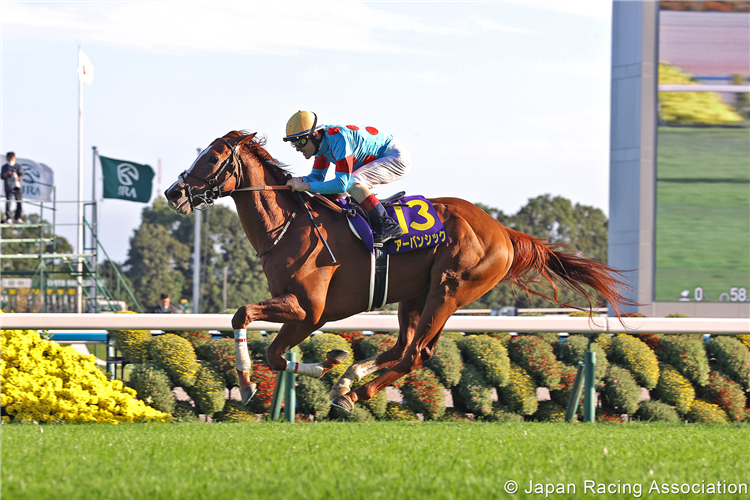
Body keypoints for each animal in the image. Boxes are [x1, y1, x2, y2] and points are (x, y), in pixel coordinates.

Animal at [166, 131, 636, 412]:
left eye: (211, 157)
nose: (173, 192)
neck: (290, 226)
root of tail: (502, 229)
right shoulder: (303, 313)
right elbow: (273, 352)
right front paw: (331, 363)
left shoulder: (308, 310)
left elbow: (249, 323)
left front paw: (249, 384)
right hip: (415, 295)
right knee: (404, 347)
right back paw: (347, 382)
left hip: (449, 290)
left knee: (415, 353)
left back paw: (357, 392)